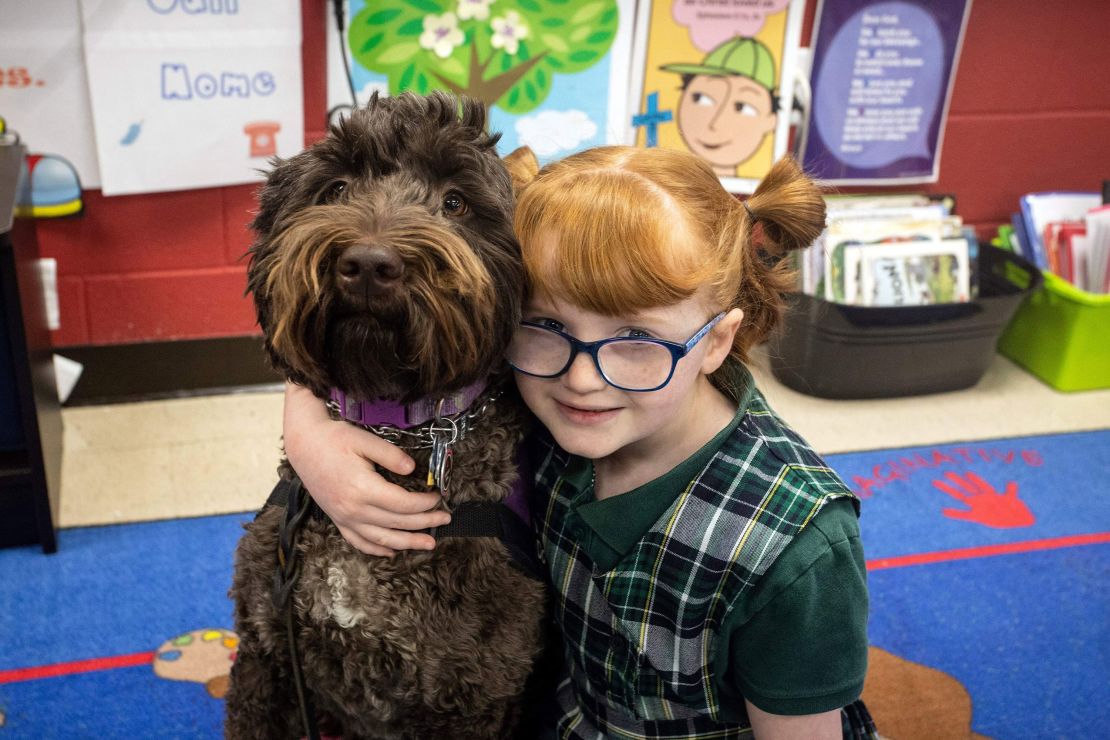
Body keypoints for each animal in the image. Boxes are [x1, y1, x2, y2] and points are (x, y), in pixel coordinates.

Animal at [227, 94, 548, 740]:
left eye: (455, 202)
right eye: (336, 188)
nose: (369, 263)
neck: (396, 425)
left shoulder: (470, 701)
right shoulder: (267, 654)